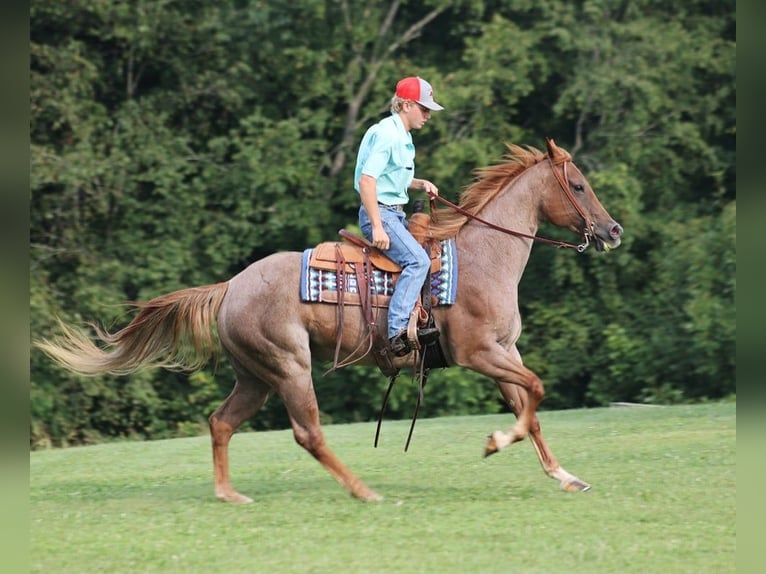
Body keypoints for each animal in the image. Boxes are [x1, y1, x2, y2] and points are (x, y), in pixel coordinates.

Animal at [35, 138, 623, 503]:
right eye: (577, 185)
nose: (613, 230)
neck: (482, 259)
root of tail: (230, 288)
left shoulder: (505, 351)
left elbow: (532, 407)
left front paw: (565, 476)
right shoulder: (480, 353)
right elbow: (536, 394)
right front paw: (495, 442)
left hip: (255, 376)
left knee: (221, 422)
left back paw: (230, 494)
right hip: (290, 367)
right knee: (309, 433)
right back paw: (364, 490)